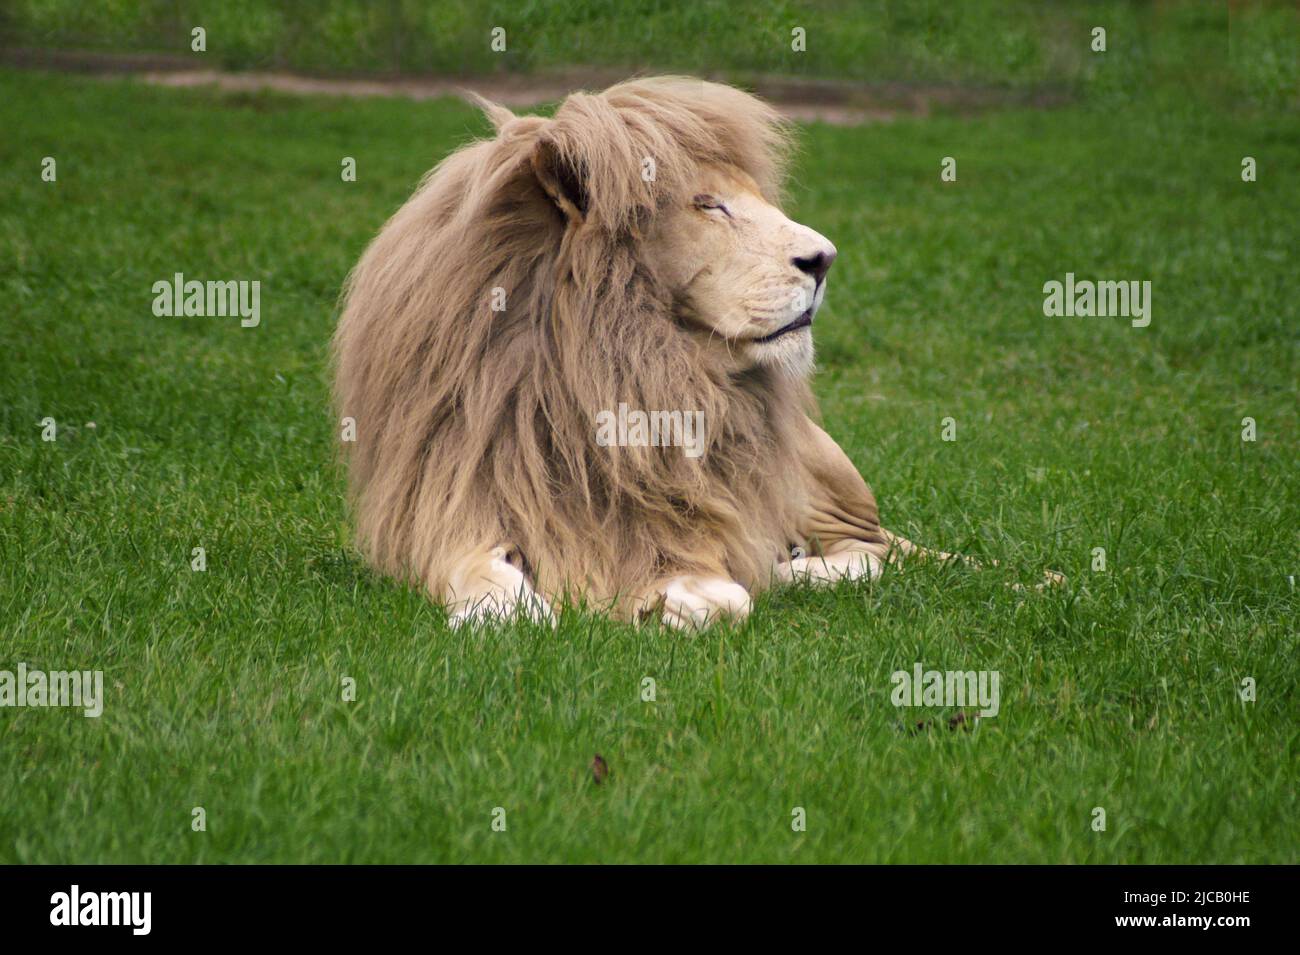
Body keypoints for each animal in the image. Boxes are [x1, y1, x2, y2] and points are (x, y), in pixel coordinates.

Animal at [335, 78, 982, 631]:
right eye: (709, 205)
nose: (824, 259)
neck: (612, 372)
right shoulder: (450, 508)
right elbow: (481, 577)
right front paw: (502, 612)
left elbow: (728, 592)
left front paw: (669, 600)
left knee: (872, 554)